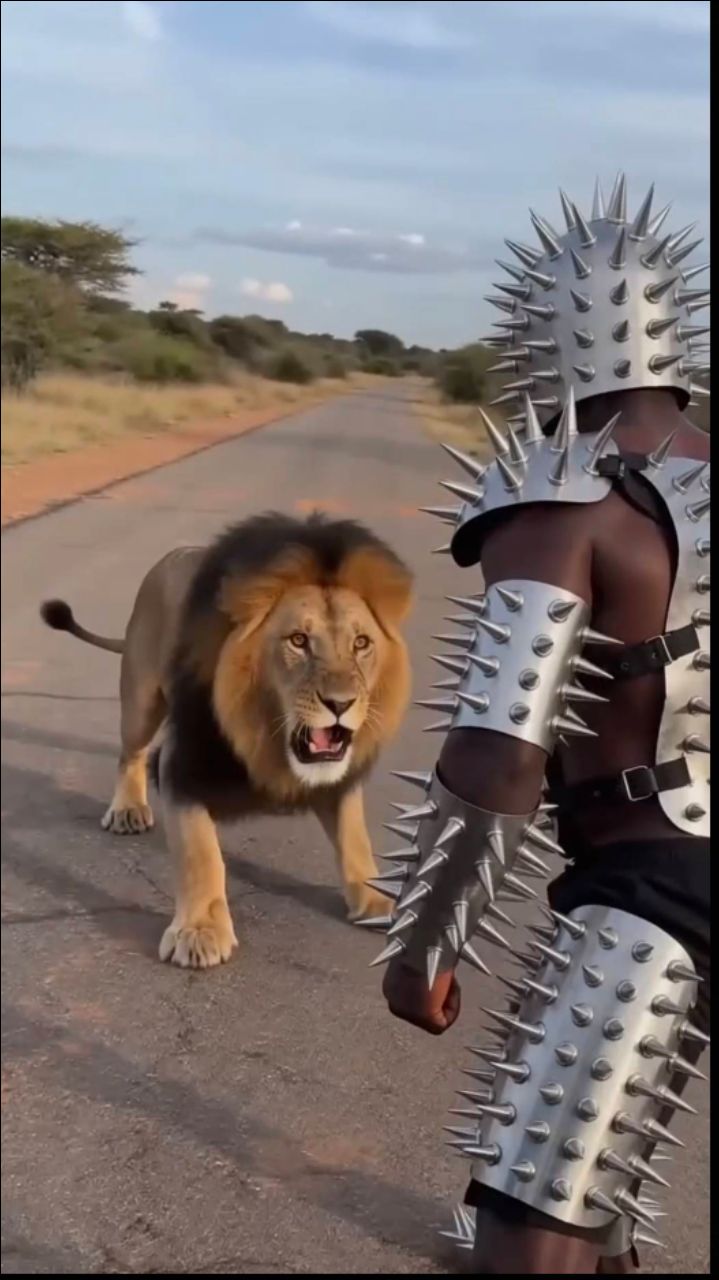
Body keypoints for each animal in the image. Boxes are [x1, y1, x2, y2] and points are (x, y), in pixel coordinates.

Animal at [40, 512, 413, 968]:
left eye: (361, 644)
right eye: (298, 641)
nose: (341, 703)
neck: (267, 739)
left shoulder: (339, 776)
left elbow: (353, 834)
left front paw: (378, 898)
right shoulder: (182, 764)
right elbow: (201, 854)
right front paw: (200, 931)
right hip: (141, 698)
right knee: (130, 753)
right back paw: (128, 810)